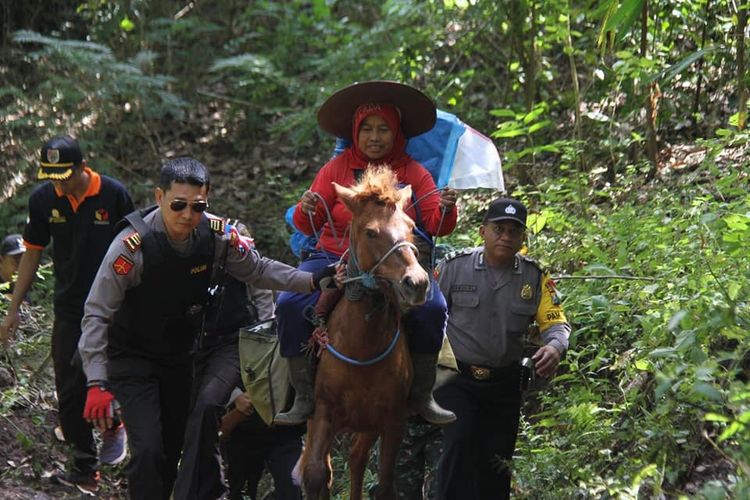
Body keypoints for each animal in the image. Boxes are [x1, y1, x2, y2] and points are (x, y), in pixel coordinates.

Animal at [302, 169, 432, 500]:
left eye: (411, 227)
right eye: (371, 232)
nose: (417, 283)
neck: (362, 347)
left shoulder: (393, 420)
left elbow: (384, 483)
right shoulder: (323, 413)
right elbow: (316, 474)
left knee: (357, 457)